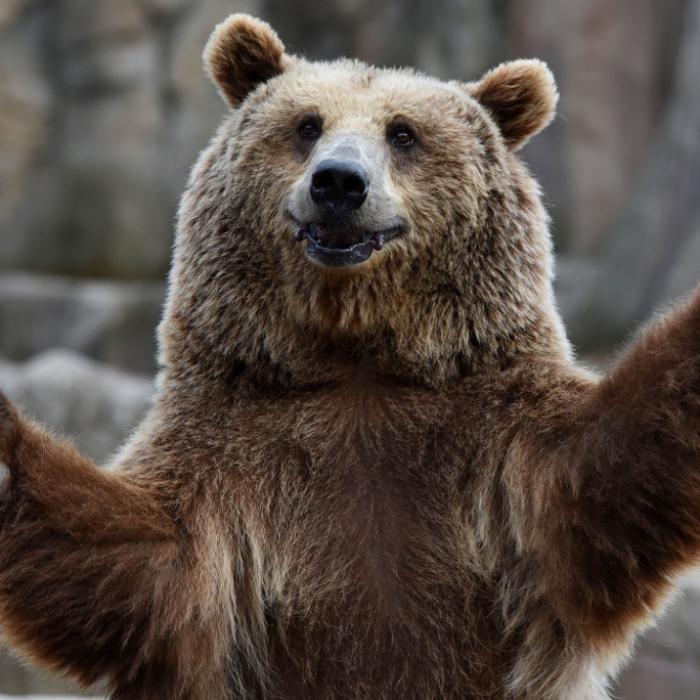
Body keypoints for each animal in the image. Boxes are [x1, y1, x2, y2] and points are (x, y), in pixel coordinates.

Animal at [1, 12, 699, 700]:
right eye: (307, 124)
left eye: (404, 133)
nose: (338, 182)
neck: (355, 355)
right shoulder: (231, 452)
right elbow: (139, 560)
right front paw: (8, 450)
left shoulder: (499, 439)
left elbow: (607, 467)